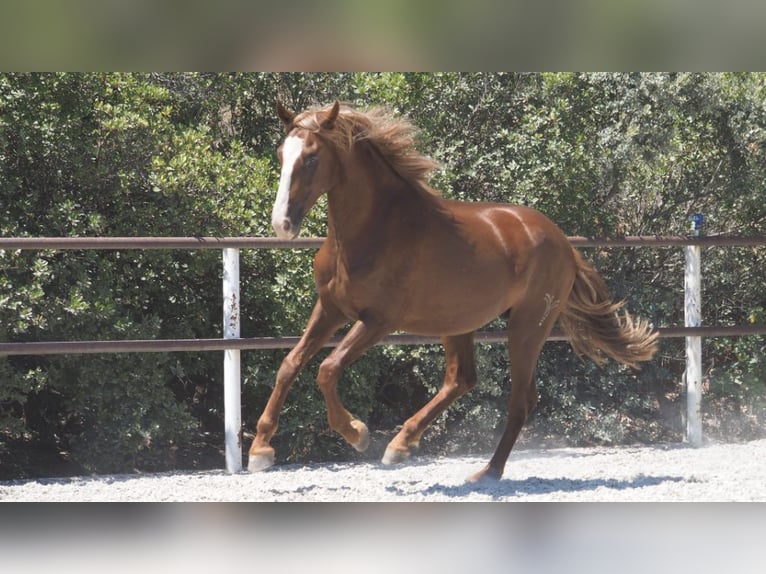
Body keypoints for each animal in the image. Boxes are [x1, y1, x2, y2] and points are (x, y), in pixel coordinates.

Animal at [248, 101, 660, 484]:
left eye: (312, 158)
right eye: (281, 154)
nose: (282, 224)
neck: (374, 230)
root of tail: (564, 243)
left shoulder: (378, 321)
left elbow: (327, 369)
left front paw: (356, 433)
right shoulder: (330, 309)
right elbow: (290, 365)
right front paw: (260, 450)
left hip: (527, 327)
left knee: (520, 400)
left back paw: (486, 472)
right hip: (459, 321)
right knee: (461, 380)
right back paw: (403, 444)